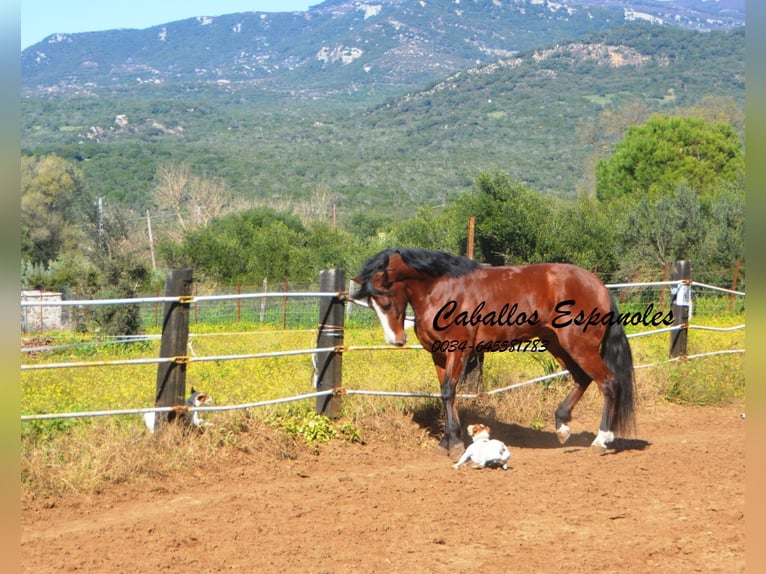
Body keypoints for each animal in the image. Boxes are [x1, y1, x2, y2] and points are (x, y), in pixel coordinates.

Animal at [354, 248, 636, 460]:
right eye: (372, 305)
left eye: (386, 301)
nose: (396, 340)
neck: (442, 289)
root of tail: (599, 286)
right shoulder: (438, 355)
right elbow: (446, 394)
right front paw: (447, 441)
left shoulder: (458, 350)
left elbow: (448, 391)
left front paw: (455, 443)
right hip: (557, 344)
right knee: (582, 378)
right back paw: (562, 427)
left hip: (580, 346)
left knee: (608, 383)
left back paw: (601, 440)